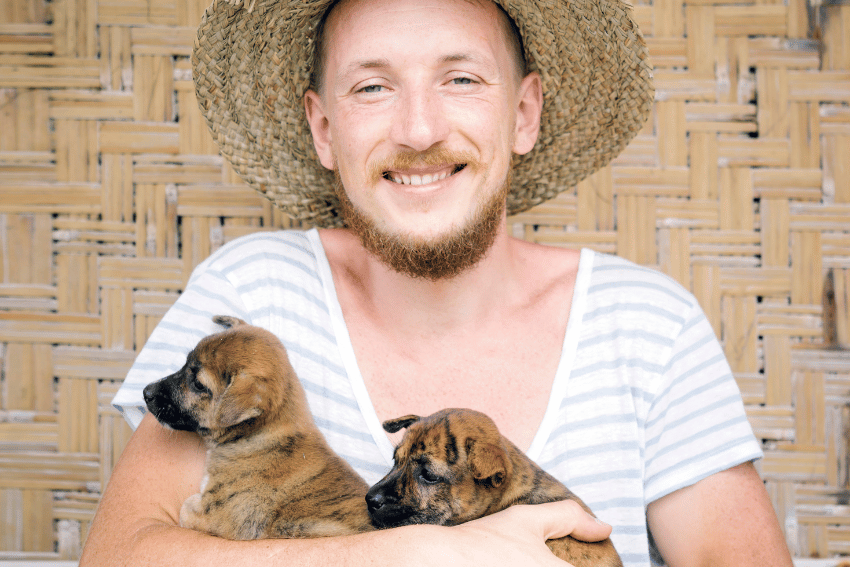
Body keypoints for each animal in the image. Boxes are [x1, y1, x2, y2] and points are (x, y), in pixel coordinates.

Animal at [142, 318, 372, 540]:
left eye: (198, 384)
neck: (258, 435)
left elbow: (186, 507)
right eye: (184, 365)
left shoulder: (220, 517)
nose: (146, 393)